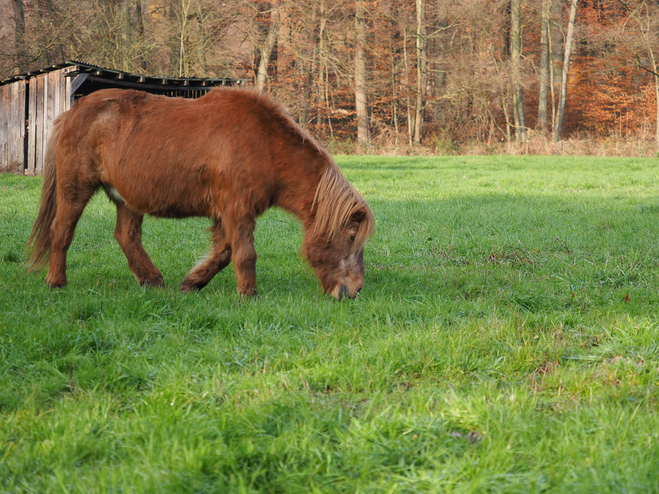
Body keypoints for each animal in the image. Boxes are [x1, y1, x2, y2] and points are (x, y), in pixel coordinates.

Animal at [28, 87, 374, 300]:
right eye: (351, 235)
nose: (356, 290)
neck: (262, 142)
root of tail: (71, 113)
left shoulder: (227, 213)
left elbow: (223, 253)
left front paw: (191, 283)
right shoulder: (236, 209)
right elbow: (245, 254)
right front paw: (249, 295)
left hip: (128, 198)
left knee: (126, 236)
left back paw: (152, 281)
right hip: (75, 189)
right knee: (61, 231)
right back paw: (56, 282)